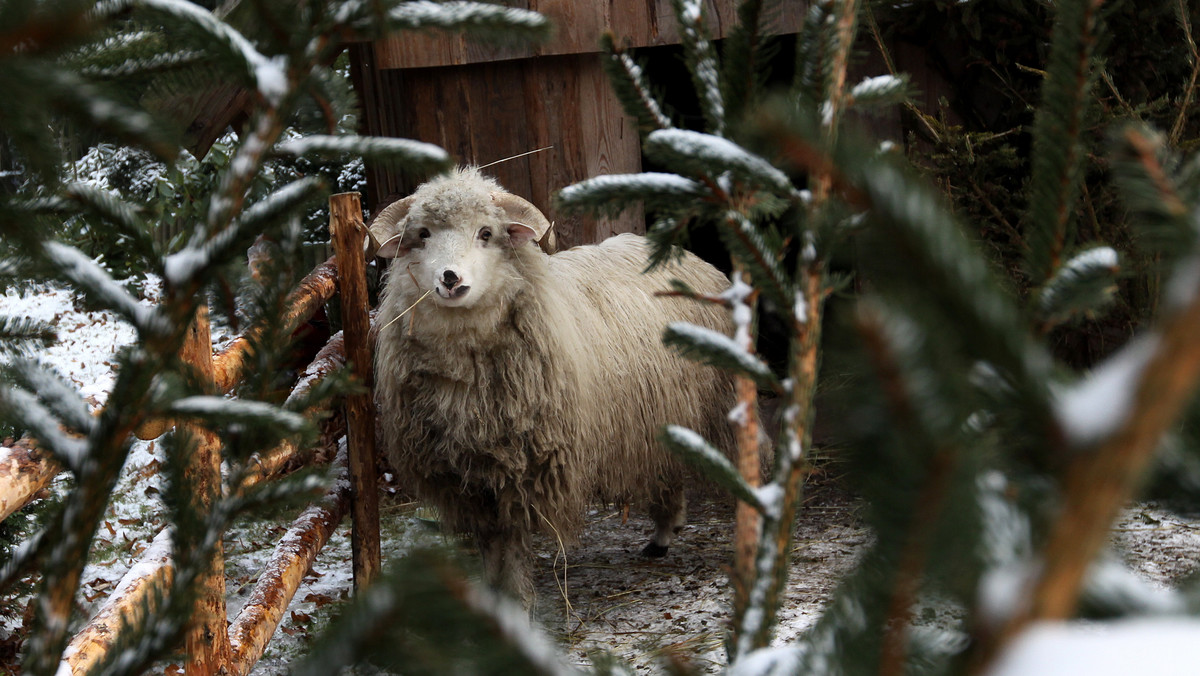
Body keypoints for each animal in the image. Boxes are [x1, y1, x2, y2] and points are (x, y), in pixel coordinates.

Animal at [369, 168, 734, 607]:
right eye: (422, 234)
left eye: (486, 233)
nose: (450, 278)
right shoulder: (468, 479)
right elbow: (491, 546)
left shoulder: (521, 472)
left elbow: (511, 547)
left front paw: (518, 601)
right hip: (663, 412)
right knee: (668, 469)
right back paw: (663, 535)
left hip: (718, 402)